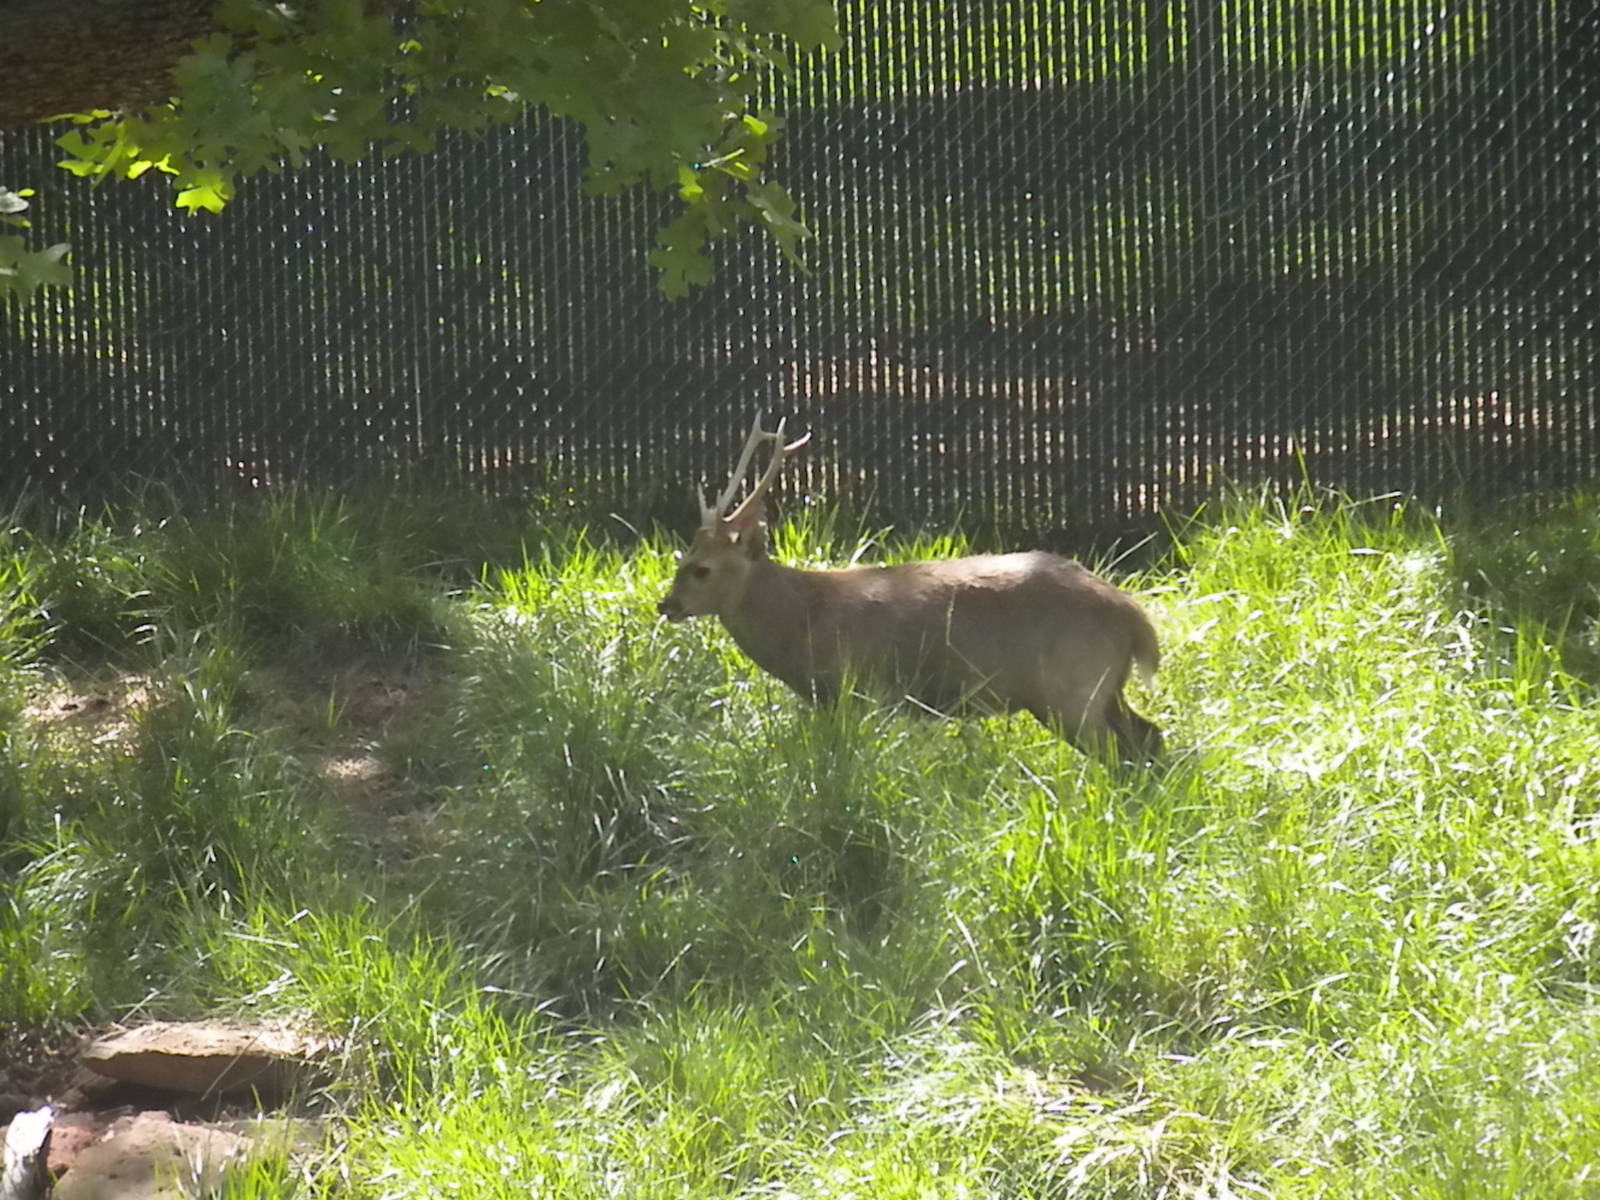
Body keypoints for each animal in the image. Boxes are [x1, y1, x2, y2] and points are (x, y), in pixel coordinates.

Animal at [656, 415, 1163, 761]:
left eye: (700, 569)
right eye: (681, 559)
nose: (666, 604)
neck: (801, 621)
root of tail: (1133, 619)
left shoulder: (864, 690)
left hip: (1072, 688)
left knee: (1121, 751)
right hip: (1100, 689)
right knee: (1149, 738)